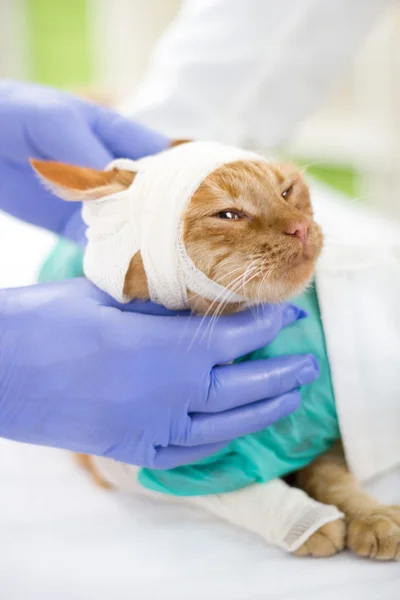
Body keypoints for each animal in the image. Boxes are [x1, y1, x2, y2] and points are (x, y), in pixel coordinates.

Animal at [31, 143, 400, 560]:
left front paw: (371, 515)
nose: (301, 227)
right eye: (229, 215)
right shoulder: (134, 464)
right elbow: (237, 489)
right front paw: (305, 521)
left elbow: (333, 476)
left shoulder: (319, 427)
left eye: (287, 192)